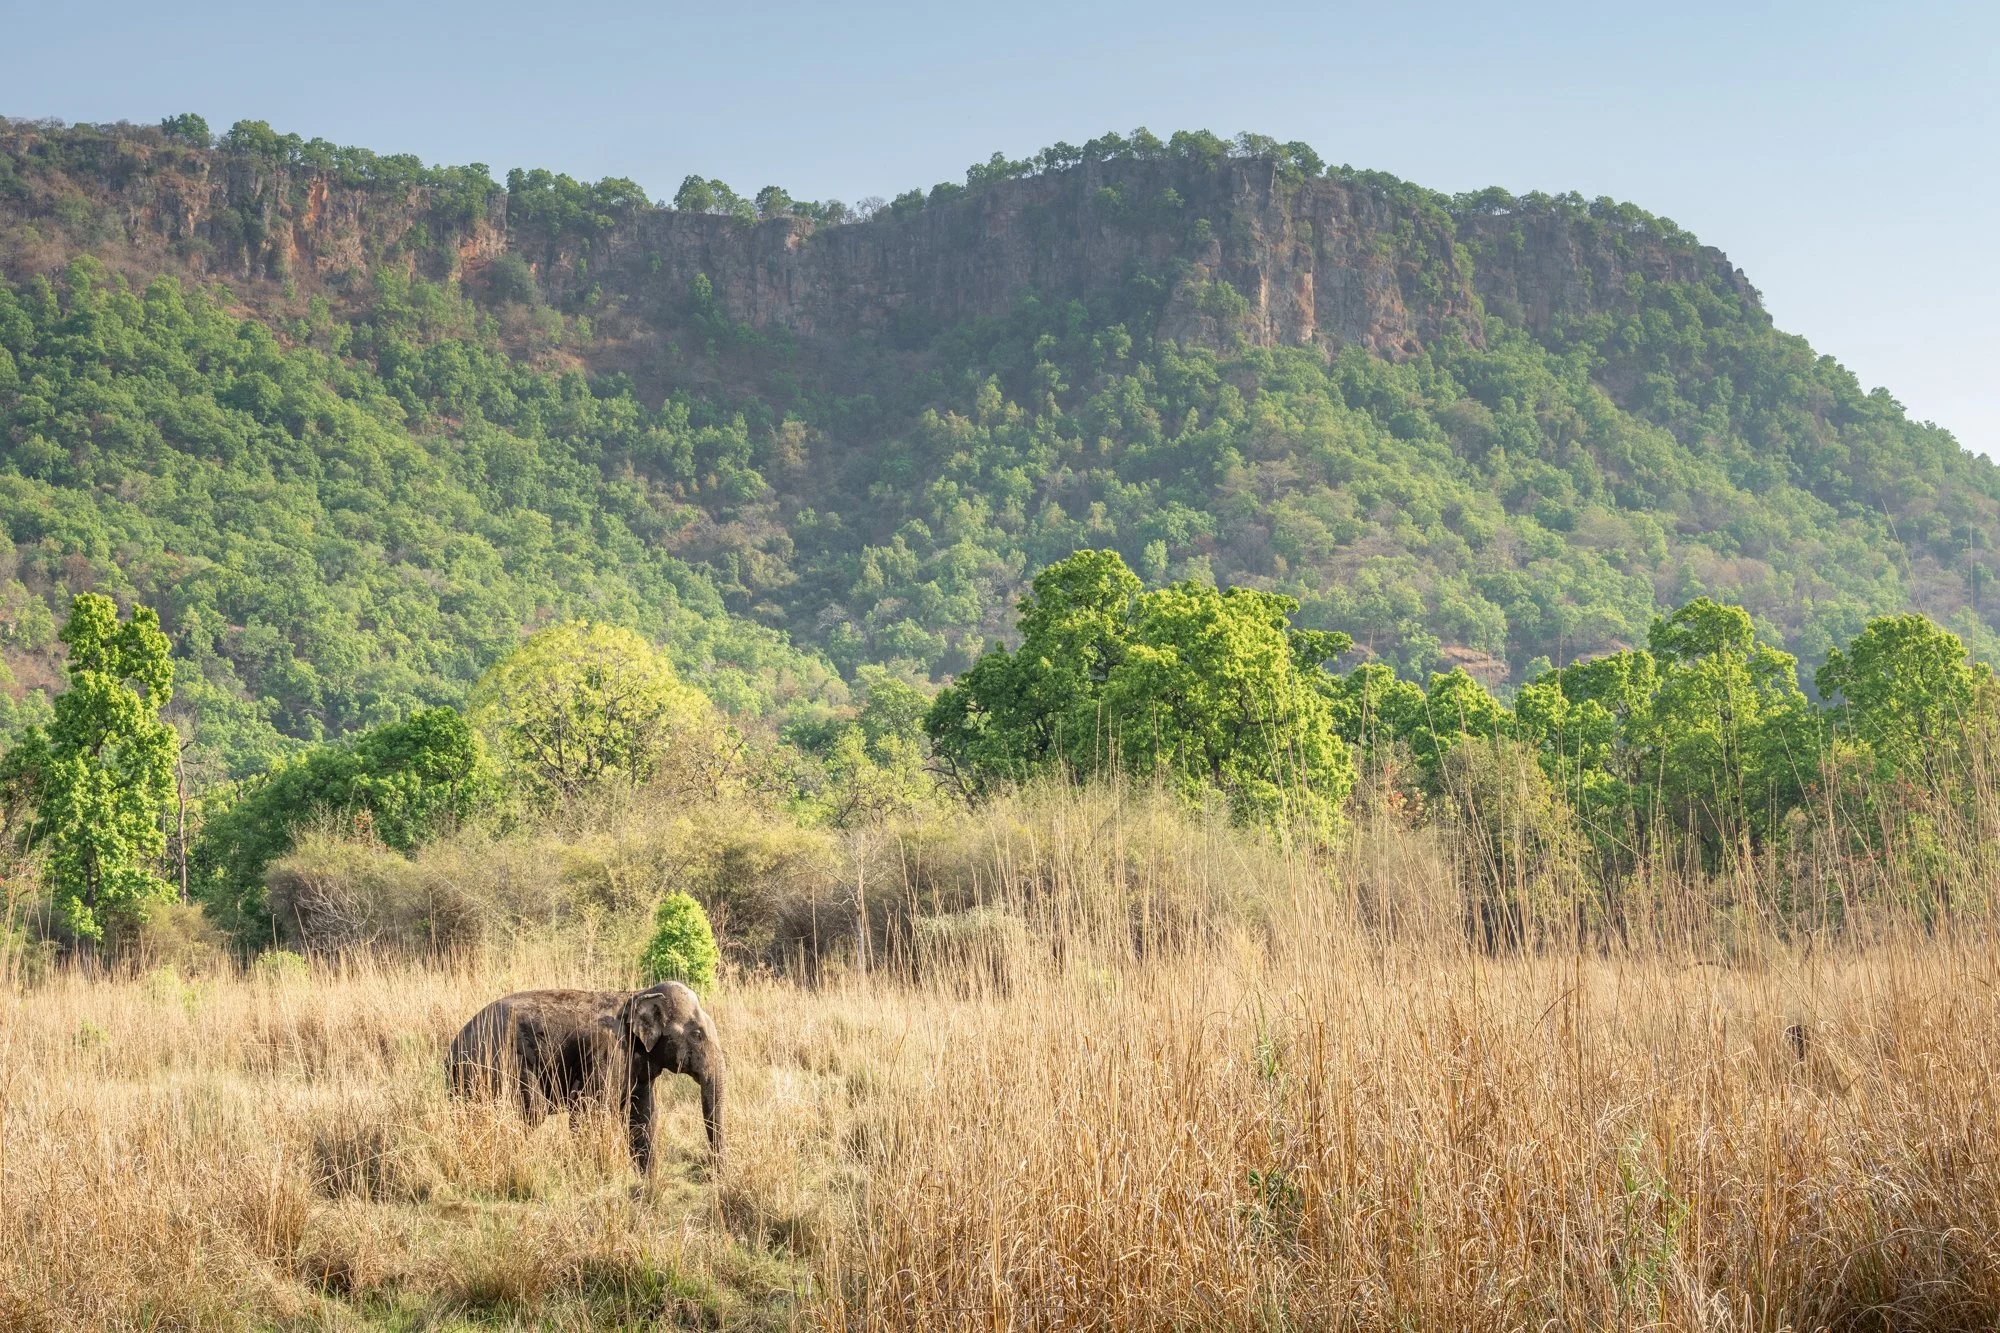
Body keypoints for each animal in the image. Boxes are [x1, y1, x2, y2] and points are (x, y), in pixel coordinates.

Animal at [446, 980, 724, 1170]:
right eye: (697, 1034)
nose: (714, 1174)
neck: (637, 994)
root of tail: (451, 1050)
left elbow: (642, 1115)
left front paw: (646, 1180)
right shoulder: (605, 1050)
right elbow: (589, 1111)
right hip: (494, 1064)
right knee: (531, 1109)